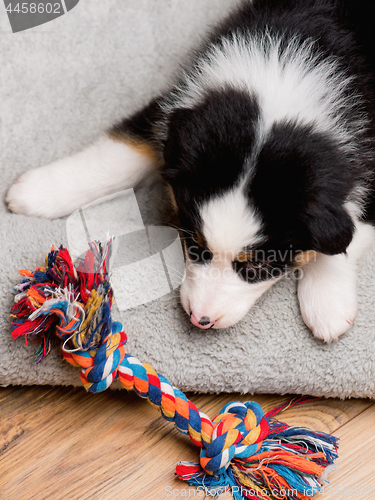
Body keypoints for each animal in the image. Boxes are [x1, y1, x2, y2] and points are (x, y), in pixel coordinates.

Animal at [5, 0, 375, 342]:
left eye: (259, 266)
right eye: (194, 243)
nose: (201, 320)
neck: (280, 91)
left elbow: (348, 232)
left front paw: (327, 304)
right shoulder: (180, 111)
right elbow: (121, 151)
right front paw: (40, 191)